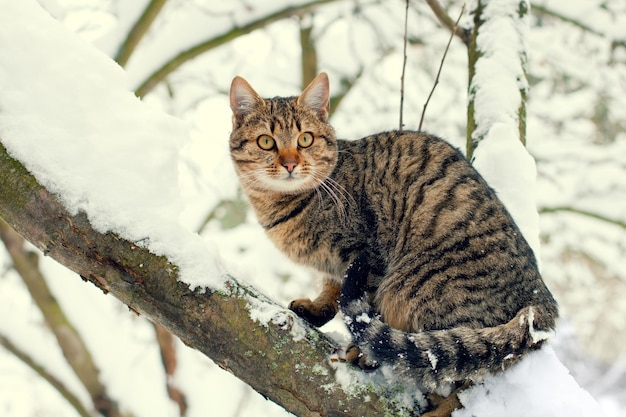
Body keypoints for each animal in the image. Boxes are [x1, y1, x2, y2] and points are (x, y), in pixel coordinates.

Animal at [227, 72, 560, 406]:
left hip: (415, 286)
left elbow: (365, 305)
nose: (290, 164)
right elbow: (333, 292)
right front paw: (317, 308)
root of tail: (541, 297)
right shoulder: (333, 267)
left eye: (305, 139)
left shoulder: (365, 255)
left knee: (451, 355)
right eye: (266, 141)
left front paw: (363, 352)